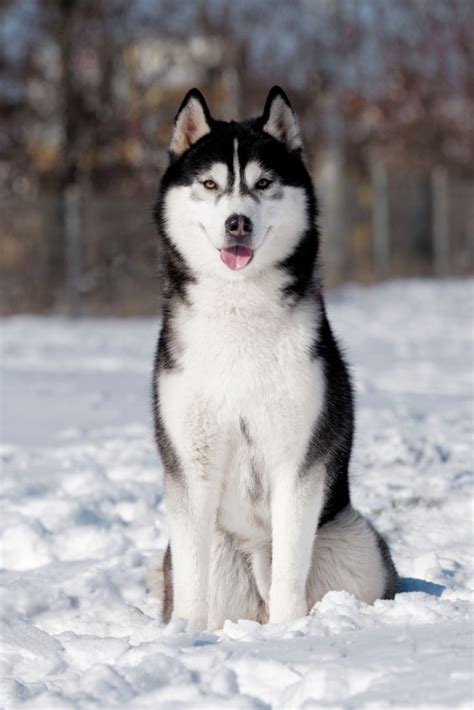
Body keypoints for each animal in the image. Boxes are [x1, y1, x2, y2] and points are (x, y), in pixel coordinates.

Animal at [150, 86, 398, 632]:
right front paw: (185, 636)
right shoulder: (191, 463)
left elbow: (289, 571)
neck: (240, 312)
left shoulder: (298, 460)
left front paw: (292, 634)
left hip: (354, 538)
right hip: (216, 553)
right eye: (209, 183)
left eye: (263, 183)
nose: (236, 222)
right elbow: (192, 576)